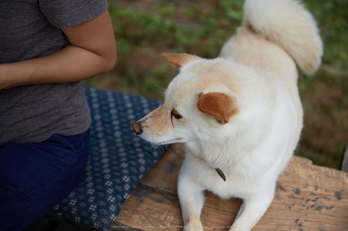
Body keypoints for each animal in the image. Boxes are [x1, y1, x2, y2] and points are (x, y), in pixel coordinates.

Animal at [132, 0, 322, 230]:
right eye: (163, 102)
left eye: (176, 115)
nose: (135, 127)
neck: (225, 156)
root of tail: (257, 33)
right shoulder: (186, 182)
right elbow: (192, 218)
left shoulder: (259, 199)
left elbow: (239, 226)